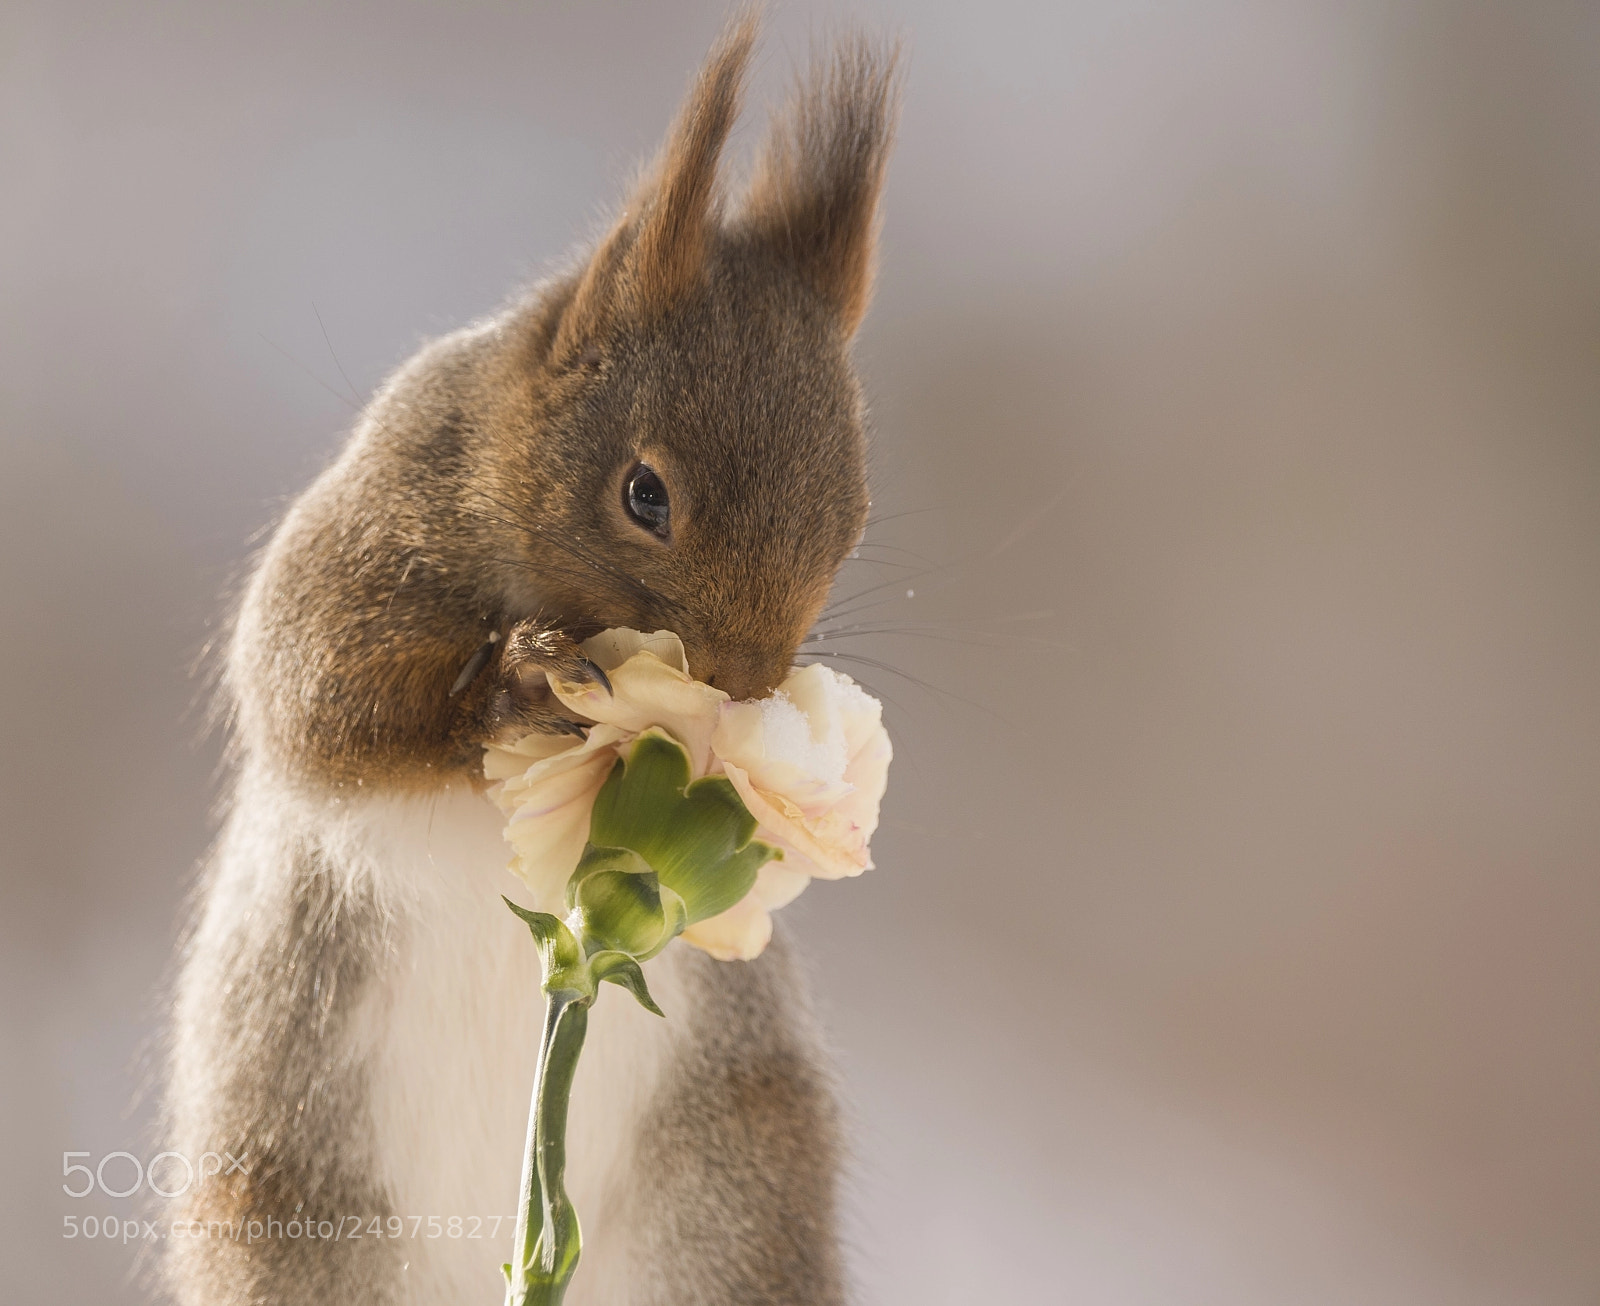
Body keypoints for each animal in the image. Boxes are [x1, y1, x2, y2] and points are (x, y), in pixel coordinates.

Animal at [163, 16, 898, 1306]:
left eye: (852, 520)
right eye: (644, 495)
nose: (742, 687)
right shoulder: (365, 537)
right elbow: (317, 700)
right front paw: (513, 685)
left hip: (732, 1201)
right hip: (293, 1216)